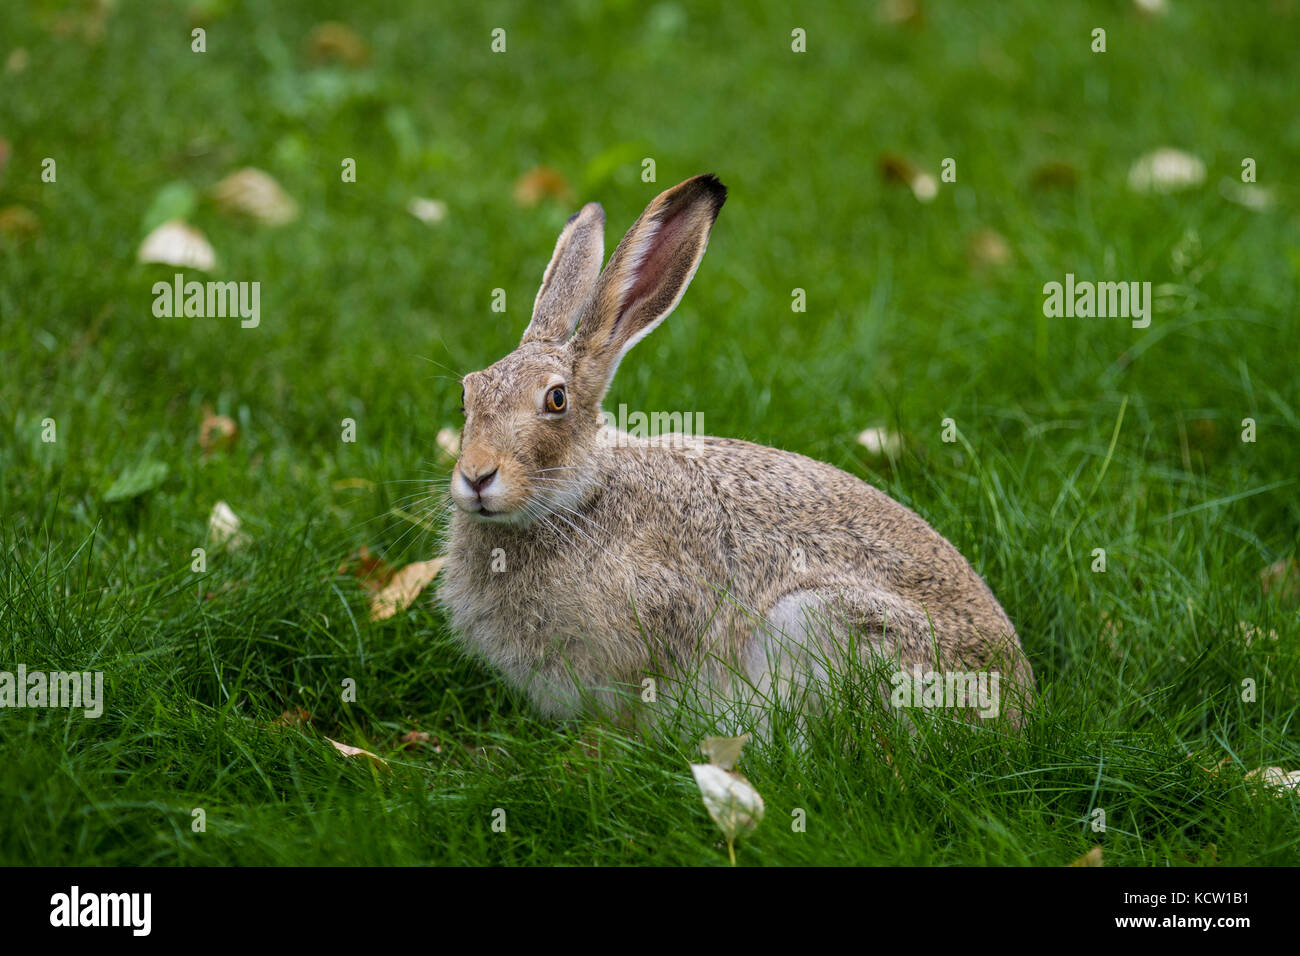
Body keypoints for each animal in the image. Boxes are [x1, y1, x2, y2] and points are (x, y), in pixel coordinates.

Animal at [439, 174, 1034, 733]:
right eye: (467, 393)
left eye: (556, 399)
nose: (476, 477)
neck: (582, 495)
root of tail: (1018, 711)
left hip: (818, 619)